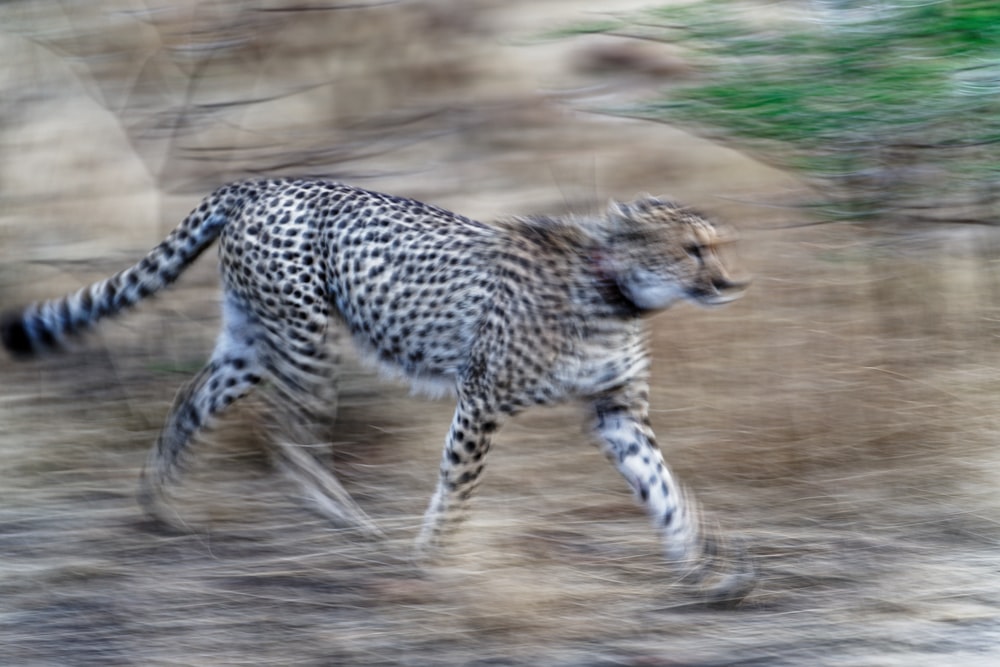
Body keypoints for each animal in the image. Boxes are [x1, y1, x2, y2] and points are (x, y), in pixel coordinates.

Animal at [0, 177, 752, 600]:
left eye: (717, 245)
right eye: (692, 248)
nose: (730, 282)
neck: (615, 290)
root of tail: (266, 183)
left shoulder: (615, 413)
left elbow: (663, 487)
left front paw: (706, 568)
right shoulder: (480, 398)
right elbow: (458, 487)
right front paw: (433, 559)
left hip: (252, 341)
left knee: (194, 399)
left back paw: (159, 503)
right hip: (304, 337)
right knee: (288, 436)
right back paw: (351, 523)